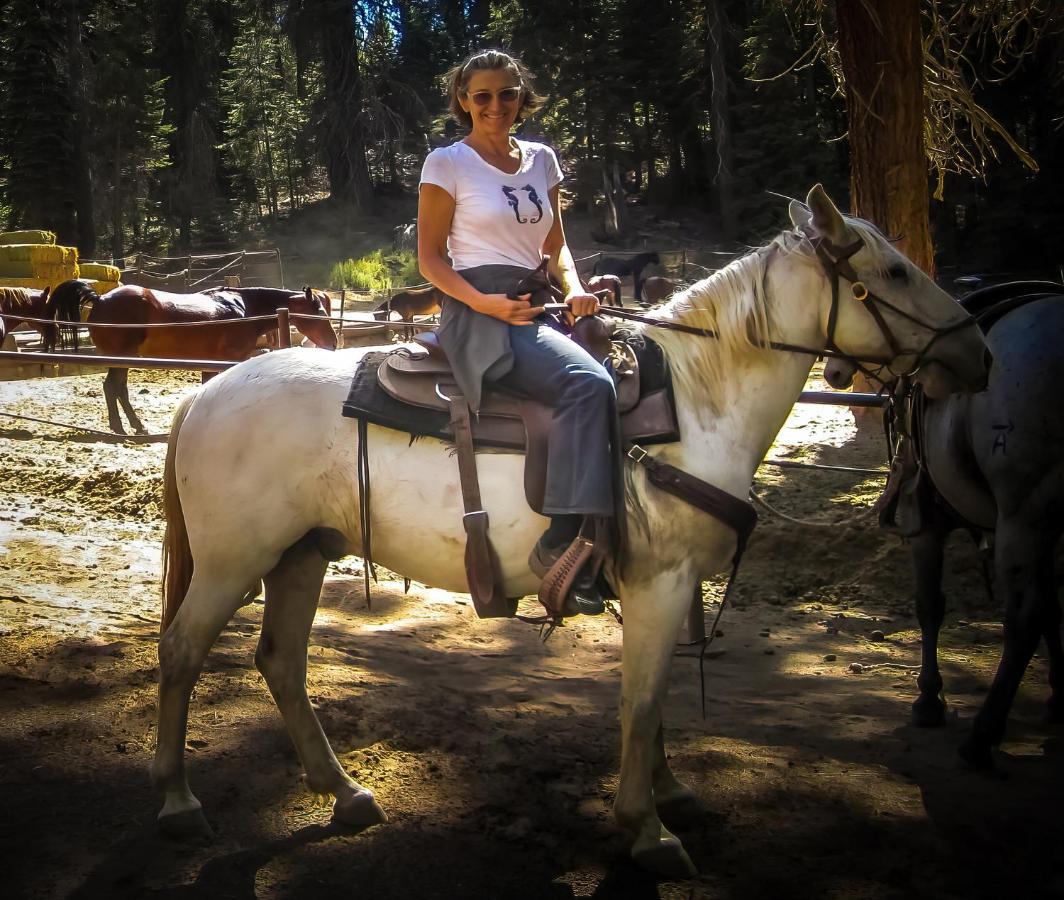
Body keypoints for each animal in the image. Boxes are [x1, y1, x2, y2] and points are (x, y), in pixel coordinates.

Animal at [52, 280, 336, 436]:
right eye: (319, 312)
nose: (333, 343)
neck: (242, 308)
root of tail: (100, 299)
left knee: (116, 387)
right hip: (122, 357)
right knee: (114, 387)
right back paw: (126, 427)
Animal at [150, 187, 987, 876]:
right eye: (895, 272)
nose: (976, 351)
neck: (694, 402)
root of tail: (204, 398)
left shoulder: (664, 587)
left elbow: (656, 697)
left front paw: (670, 792)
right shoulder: (659, 583)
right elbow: (641, 701)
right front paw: (647, 829)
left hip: (300, 555)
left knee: (281, 662)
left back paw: (345, 792)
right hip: (232, 562)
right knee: (182, 652)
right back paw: (178, 802)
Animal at [825, 280, 1064, 770]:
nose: (833, 371)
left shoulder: (927, 523)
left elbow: (930, 606)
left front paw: (929, 699)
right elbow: (1054, 608)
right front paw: (1057, 696)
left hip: (1020, 518)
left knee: (1022, 620)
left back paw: (982, 736)